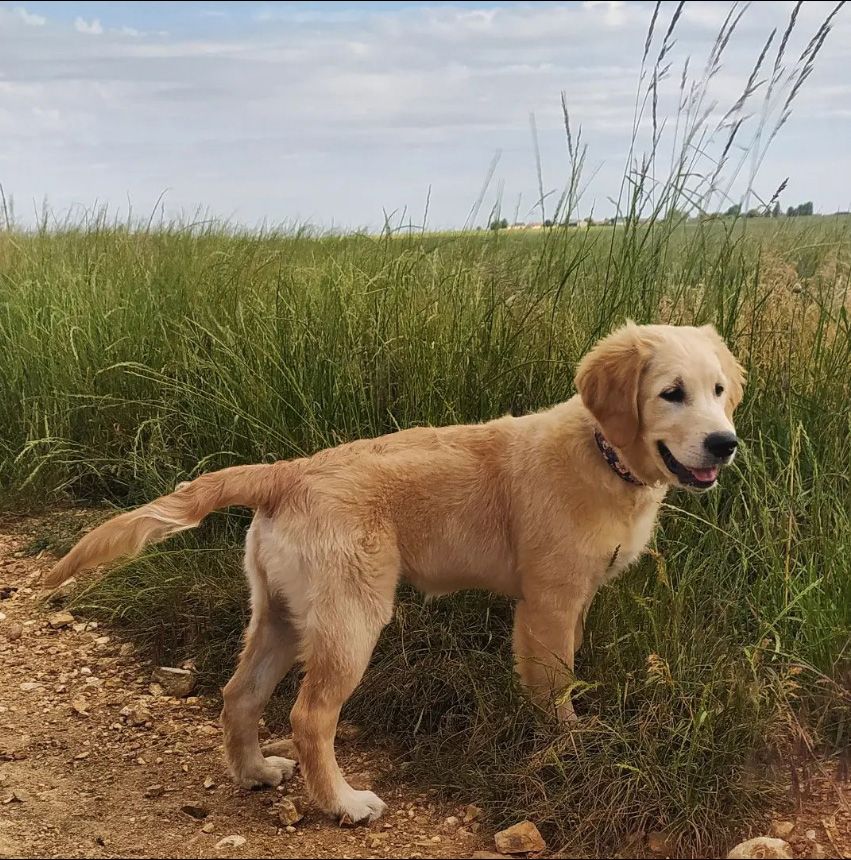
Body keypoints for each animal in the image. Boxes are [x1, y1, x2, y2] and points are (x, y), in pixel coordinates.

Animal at [43, 324, 744, 828]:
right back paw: (343, 803)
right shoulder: (549, 603)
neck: (602, 453)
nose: (725, 443)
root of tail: (287, 472)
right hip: (352, 618)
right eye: (671, 392)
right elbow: (555, 687)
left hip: (282, 614)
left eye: (718, 391)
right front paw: (568, 746)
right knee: (309, 716)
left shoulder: (575, 601)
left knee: (239, 693)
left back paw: (253, 771)